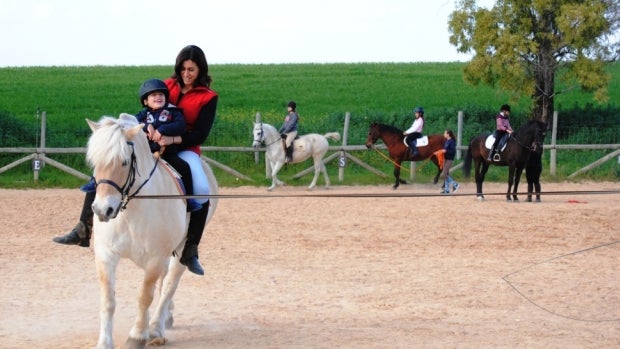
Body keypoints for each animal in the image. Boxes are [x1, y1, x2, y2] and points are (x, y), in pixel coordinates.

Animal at [85, 113, 216, 346]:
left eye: (124, 162)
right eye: (95, 162)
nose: (102, 210)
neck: (130, 211)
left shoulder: (155, 258)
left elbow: (145, 296)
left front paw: (137, 336)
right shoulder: (106, 254)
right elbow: (108, 300)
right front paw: (104, 342)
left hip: (180, 250)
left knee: (169, 286)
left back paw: (155, 329)